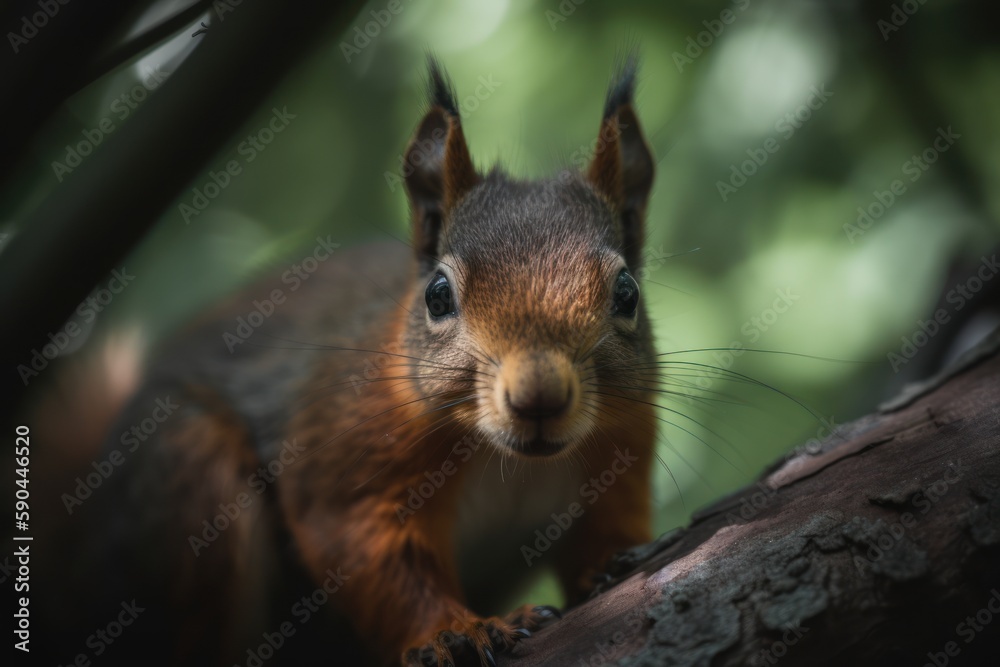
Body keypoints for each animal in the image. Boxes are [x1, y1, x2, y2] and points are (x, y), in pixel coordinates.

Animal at [48, 55, 659, 667]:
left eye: (627, 293)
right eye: (438, 296)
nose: (539, 396)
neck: (508, 460)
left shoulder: (622, 447)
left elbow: (605, 531)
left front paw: (611, 563)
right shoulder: (347, 456)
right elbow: (377, 559)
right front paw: (454, 632)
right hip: (187, 477)